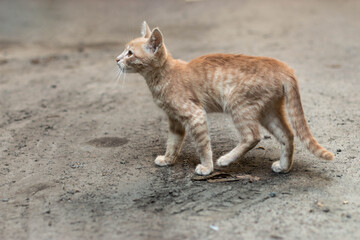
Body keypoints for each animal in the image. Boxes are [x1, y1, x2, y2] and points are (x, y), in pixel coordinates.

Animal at [116, 22, 334, 176]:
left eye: (130, 53)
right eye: (124, 50)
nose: (117, 59)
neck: (163, 77)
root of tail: (284, 67)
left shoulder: (195, 114)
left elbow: (203, 144)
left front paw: (207, 167)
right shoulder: (175, 120)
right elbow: (173, 142)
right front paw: (168, 160)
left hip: (238, 105)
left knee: (252, 136)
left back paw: (226, 160)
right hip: (268, 111)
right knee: (287, 135)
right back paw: (283, 167)